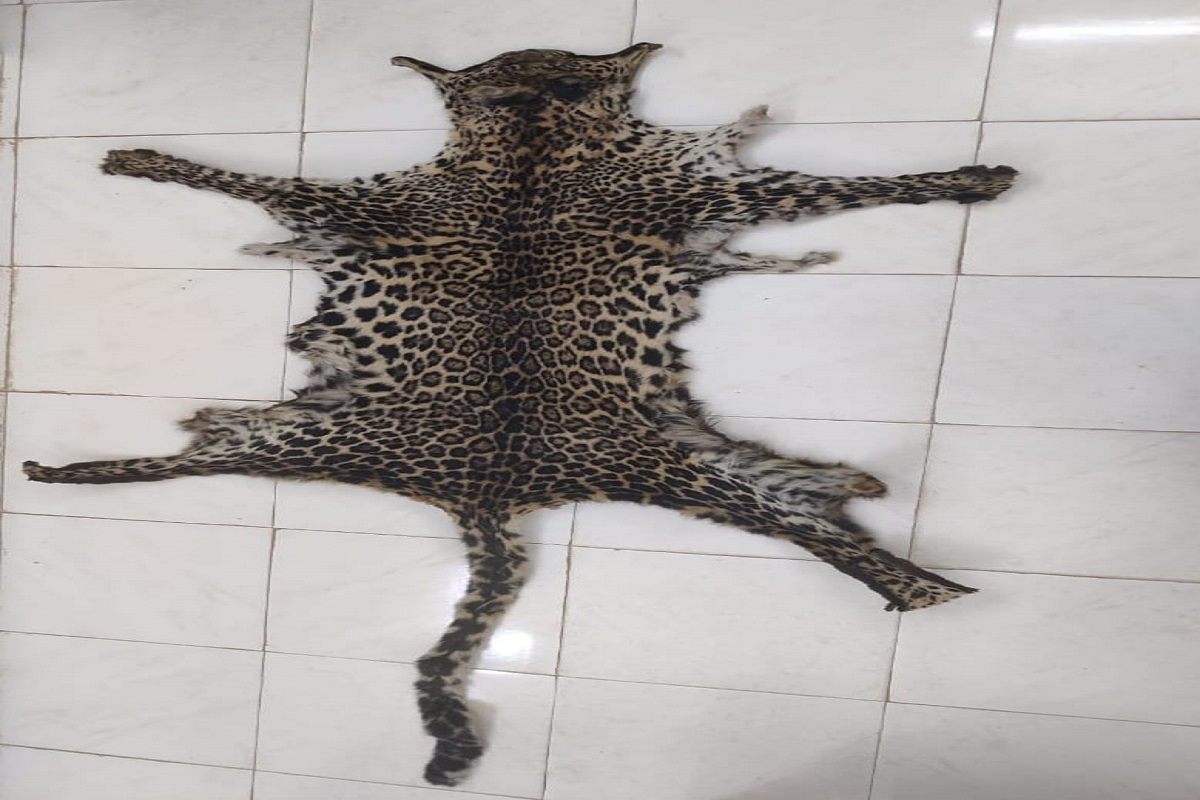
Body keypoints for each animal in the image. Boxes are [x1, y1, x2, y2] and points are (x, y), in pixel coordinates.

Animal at [23, 43, 1017, 786]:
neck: (529, 140)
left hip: (667, 465)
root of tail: (485, 495)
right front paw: (974, 177)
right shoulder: (711, 189)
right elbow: (852, 186)